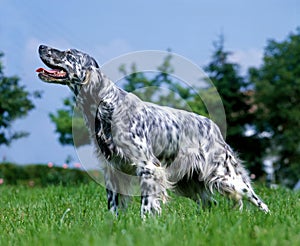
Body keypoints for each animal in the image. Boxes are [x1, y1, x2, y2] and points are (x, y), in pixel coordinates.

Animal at [37, 45, 270, 216]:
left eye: (68, 54)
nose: (41, 46)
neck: (107, 106)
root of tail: (213, 126)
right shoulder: (112, 171)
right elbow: (113, 206)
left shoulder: (148, 168)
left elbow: (147, 205)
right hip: (190, 182)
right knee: (211, 203)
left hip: (226, 175)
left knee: (256, 199)